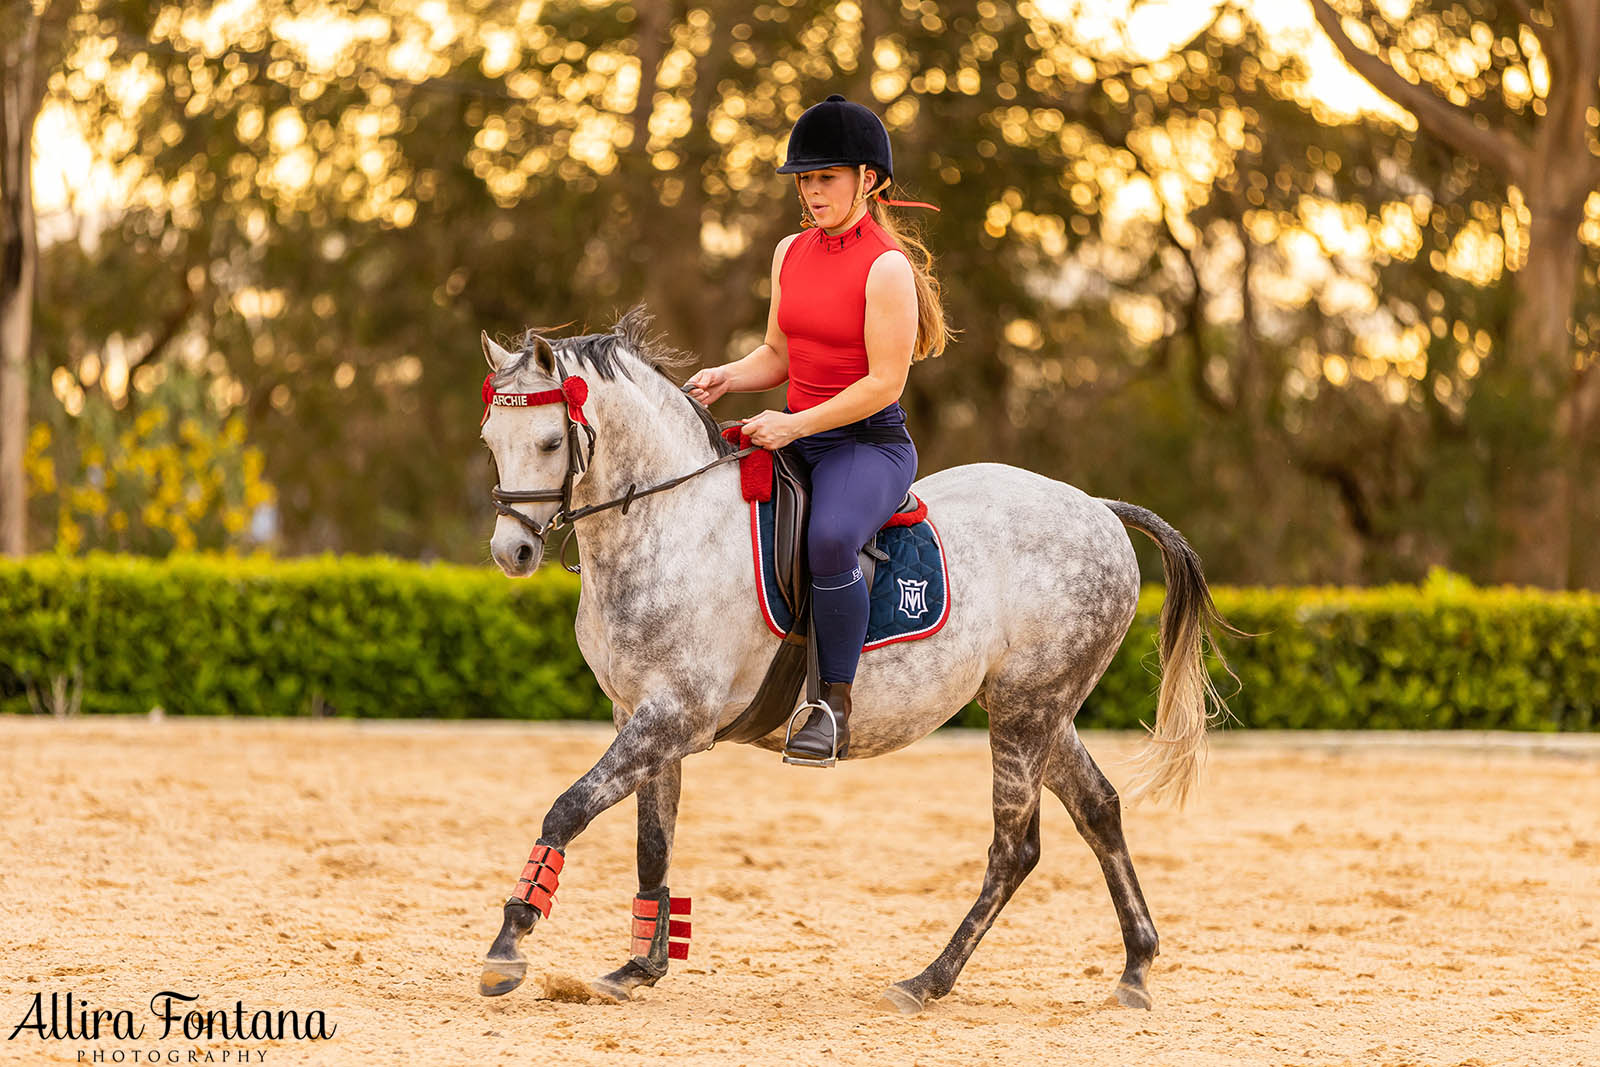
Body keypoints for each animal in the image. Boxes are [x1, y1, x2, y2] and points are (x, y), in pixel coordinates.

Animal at [467, 307, 1228, 1017]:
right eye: (490, 441)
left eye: (548, 441)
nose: (513, 552)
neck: (669, 522)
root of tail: (1098, 509)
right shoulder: (641, 714)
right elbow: (653, 840)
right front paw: (638, 967)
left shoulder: (675, 716)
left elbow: (567, 809)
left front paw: (509, 944)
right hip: (1039, 708)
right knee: (1098, 809)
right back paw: (1135, 968)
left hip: (1026, 711)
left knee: (1014, 848)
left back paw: (926, 981)